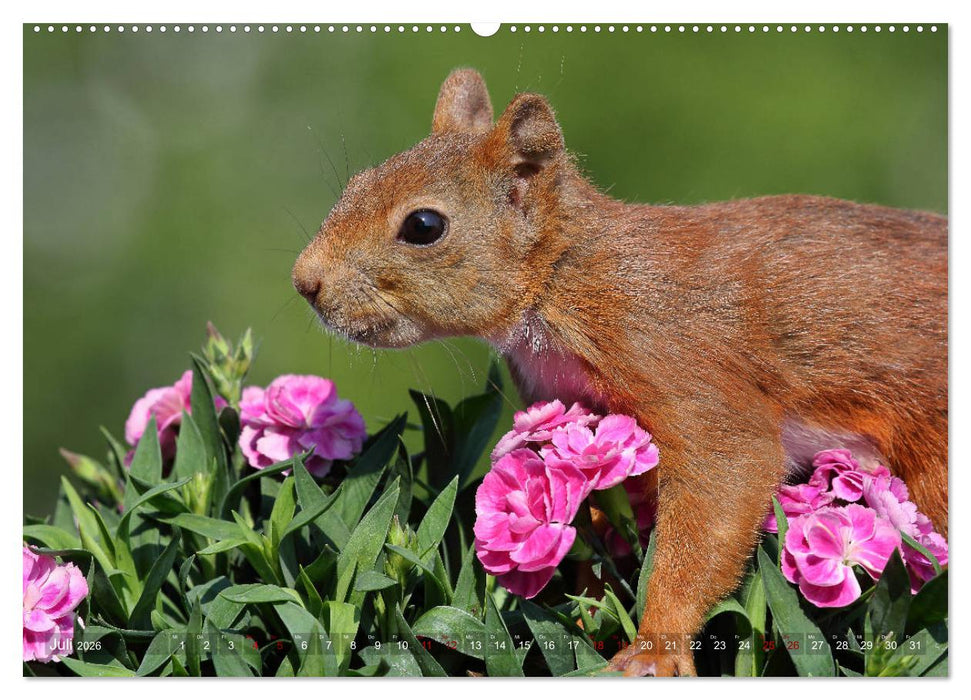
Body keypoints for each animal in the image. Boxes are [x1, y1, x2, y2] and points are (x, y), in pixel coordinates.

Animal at [292, 68, 948, 676]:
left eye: (424, 226)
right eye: (357, 183)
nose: (305, 282)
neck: (563, 277)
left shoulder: (673, 356)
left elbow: (727, 474)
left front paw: (654, 646)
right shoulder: (577, 406)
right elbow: (592, 513)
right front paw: (586, 608)